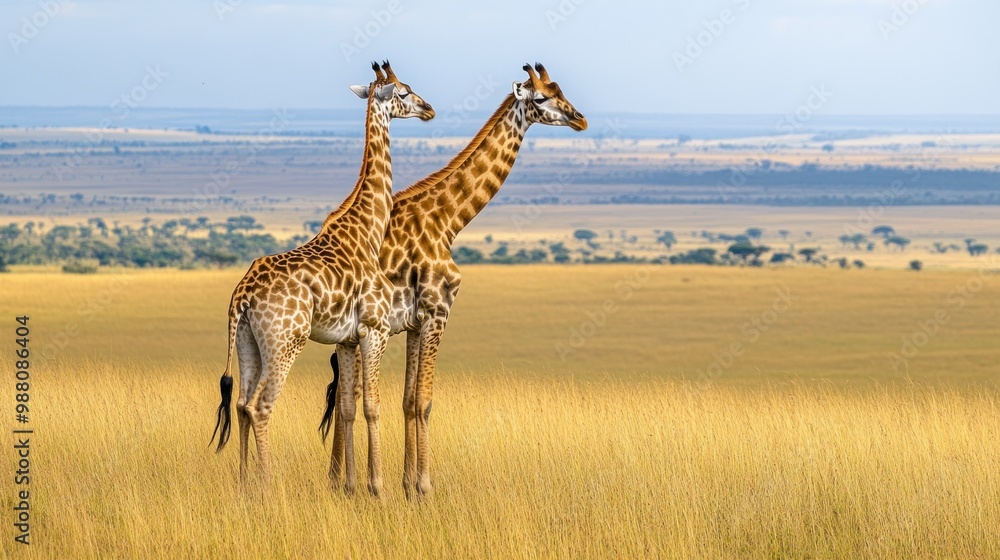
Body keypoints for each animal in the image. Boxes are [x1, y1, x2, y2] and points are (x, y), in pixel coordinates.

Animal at [210, 61, 435, 496]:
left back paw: (245, 485)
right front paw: (377, 489)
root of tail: (241, 295)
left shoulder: (346, 338)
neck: (367, 229)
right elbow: (371, 405)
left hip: (247, 342)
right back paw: (267, 487)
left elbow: (349, 406)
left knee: (241, 403)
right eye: (402, 91)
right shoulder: (373, 329)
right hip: (285, 342)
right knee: (260, 405)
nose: (429, 109)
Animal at [321, 63, 586, 497]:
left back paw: (341, 483)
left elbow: (408, 400)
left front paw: (408, 485)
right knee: (350, 394)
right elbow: (424, 400)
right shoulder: (437, 312)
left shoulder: (414, 323)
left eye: (561, 90)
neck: (449, 221)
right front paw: (425, 487)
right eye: (542, 97)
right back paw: (345, 483)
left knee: (346, 395)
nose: (580, 119)